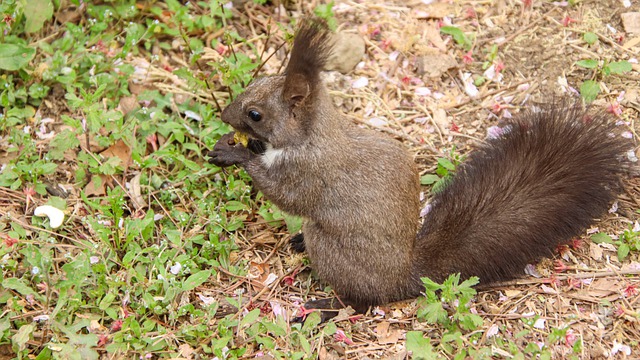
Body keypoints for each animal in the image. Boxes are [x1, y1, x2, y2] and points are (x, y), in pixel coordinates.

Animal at [208, 17, 632, 316]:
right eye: (258, 81)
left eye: (255, 113)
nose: (224, 115)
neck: (315, 135)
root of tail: (402, 277)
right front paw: (234, 145)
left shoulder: (309, 173)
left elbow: (286, 195)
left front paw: (237, 155)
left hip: (332, 249)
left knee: (363, 300)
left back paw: (328, 305)